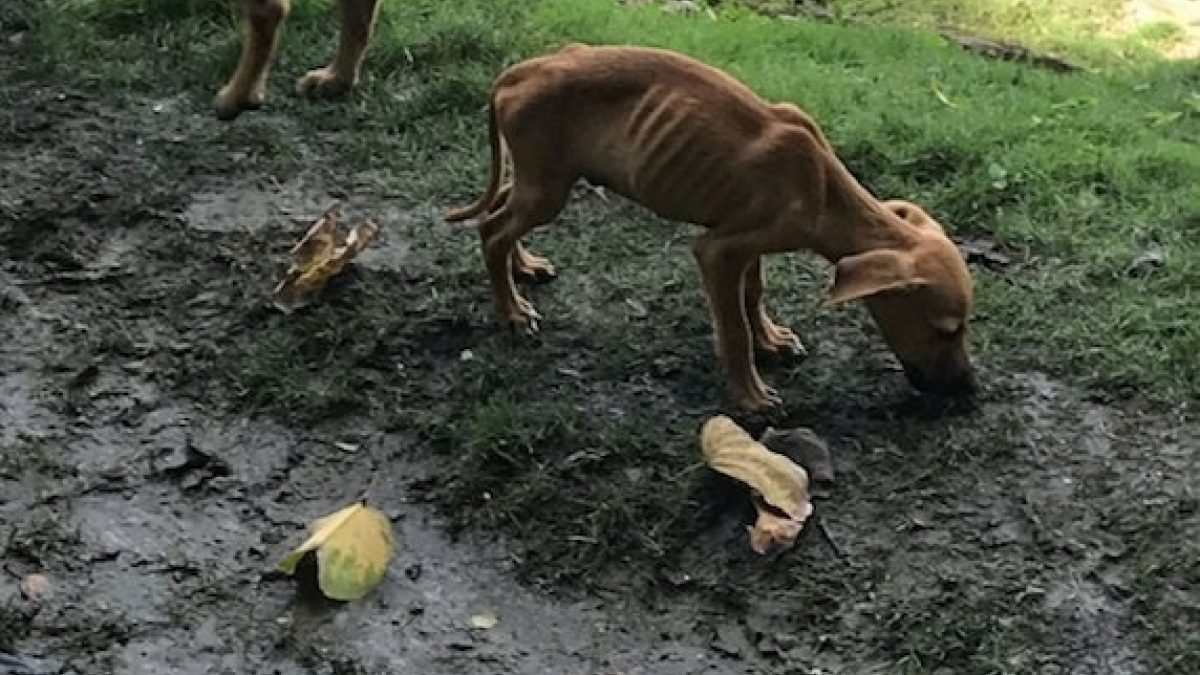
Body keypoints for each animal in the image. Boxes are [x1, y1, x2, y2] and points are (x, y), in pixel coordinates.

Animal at [448, 45, 974, 410]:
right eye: (946, 331)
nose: (969, 390)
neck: (822, 190)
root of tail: (520, 71)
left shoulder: (746, 244)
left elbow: (753, 295)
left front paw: (771, 340)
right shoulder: (717, 251)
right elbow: (734, 329)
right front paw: (751, 395)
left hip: (540, 177)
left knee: (501, 210)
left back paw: (524, 268)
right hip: (546, 187)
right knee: (493, 231)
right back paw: (512, 312)